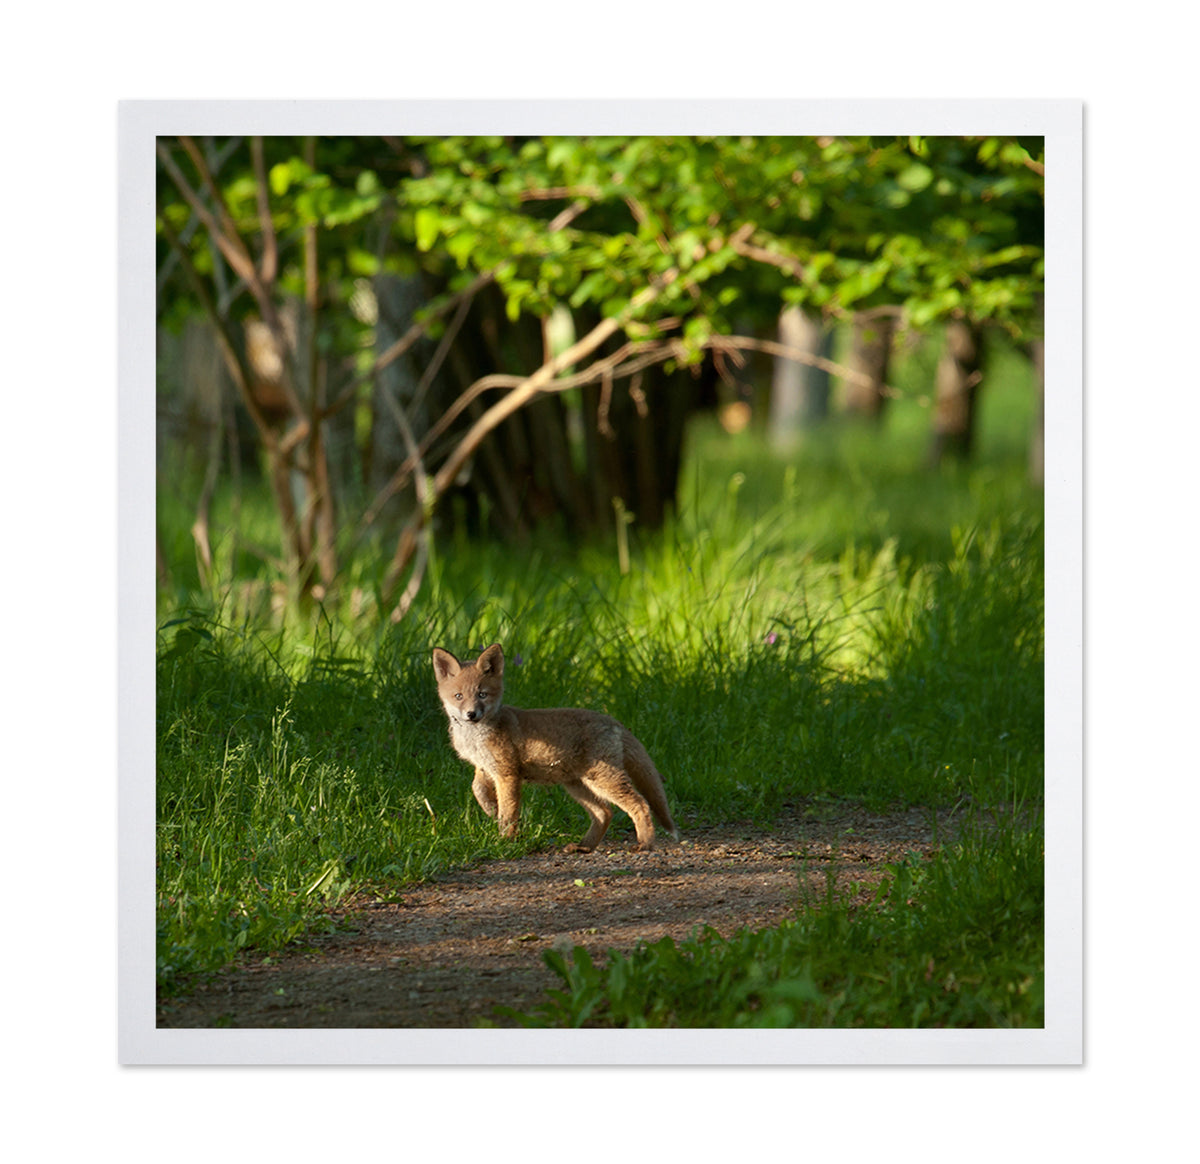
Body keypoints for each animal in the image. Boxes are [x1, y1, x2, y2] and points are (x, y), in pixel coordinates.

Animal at [431, 643, 679, 852]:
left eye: (482, 694)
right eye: (458, 696)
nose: (471, 714)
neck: (476, 738)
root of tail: (613, 720)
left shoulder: (508, 773)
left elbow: (509, 813)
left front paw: (505, 841)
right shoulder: (485, 768)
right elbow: (478, 790)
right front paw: (491, 810)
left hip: (603, 779)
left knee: (640, 804)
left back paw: (645, 844)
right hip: (577, 785)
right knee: (605, 812)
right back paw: (584, 847)